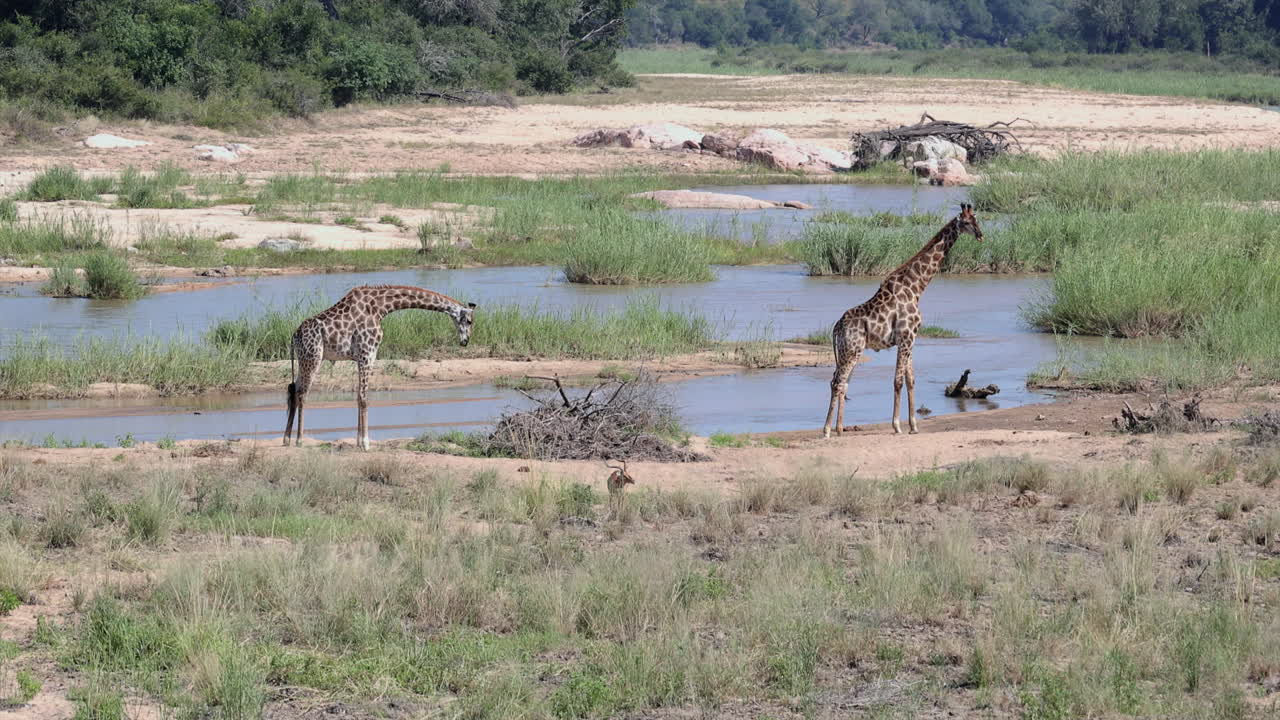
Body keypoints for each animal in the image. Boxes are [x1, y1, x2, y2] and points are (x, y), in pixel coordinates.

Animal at [282, 284, 477, 450]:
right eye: (469, 321)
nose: (465, 341)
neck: (380, 308)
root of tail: (293, 336)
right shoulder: (367, 353)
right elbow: (364, 397)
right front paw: (366, 443)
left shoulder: (364, 356)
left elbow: (359, 396)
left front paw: (359, 442)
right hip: (313, 357)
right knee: (303, 393)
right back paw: (299, 440)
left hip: (303, 359)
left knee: (293, 389)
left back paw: (286, 439)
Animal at [822, 204, 983, 439]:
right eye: (968, 222)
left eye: (978, 219)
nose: (981, 235)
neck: (916, 287)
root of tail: (835, 328)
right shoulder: (906, 337)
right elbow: (898, 381)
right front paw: (897, 425)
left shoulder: (911, 339)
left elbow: (910, 380)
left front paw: (914, 426)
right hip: (851, 351)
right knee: (837, 383)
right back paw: (826, 430)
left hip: (848, 353)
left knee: (842, 384)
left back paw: (840, 429)